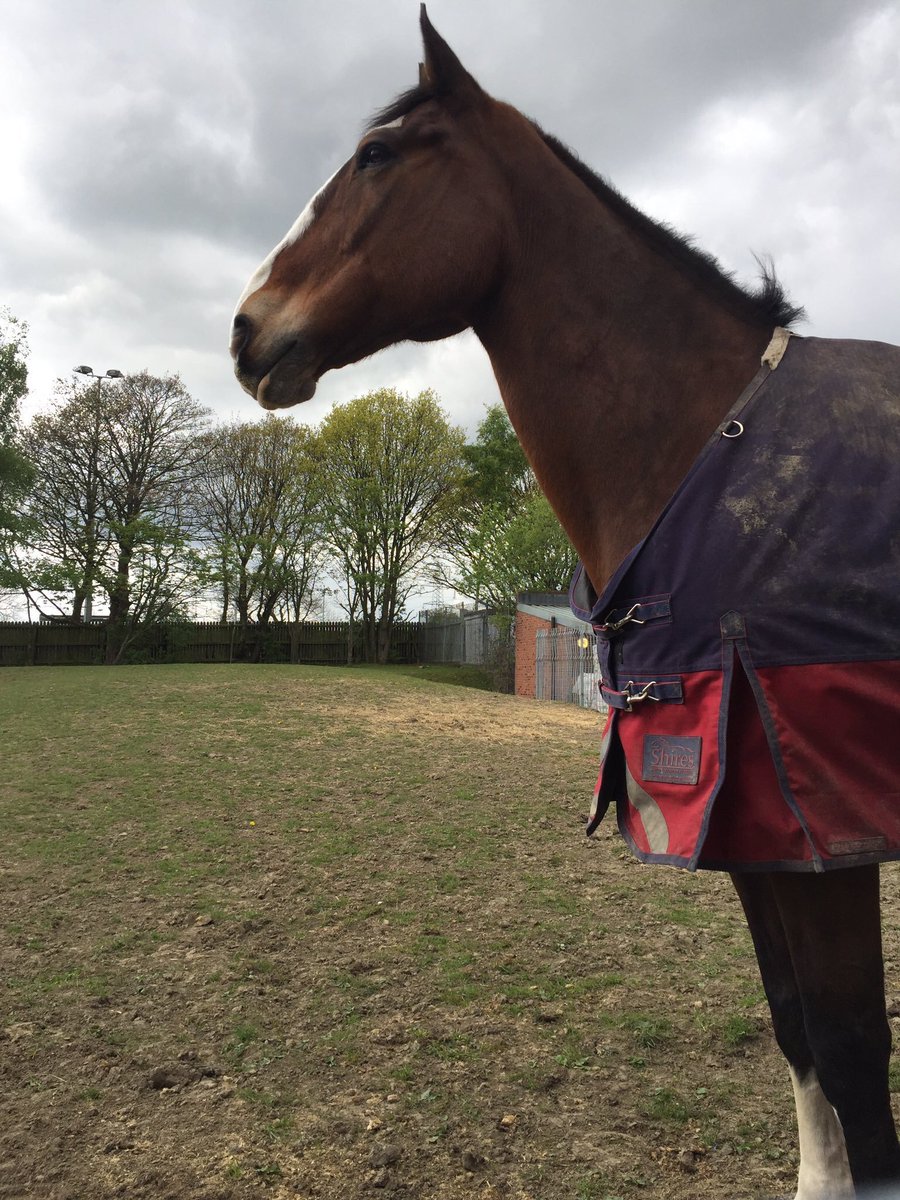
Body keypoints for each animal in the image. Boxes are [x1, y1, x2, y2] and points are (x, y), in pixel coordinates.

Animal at [231, 10, 900, 1197]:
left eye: (376, 157)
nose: (243, 329)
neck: (710, 453)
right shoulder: (752, 828)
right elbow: (799, 1032)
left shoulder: (832, 832)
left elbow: (854, 1051)